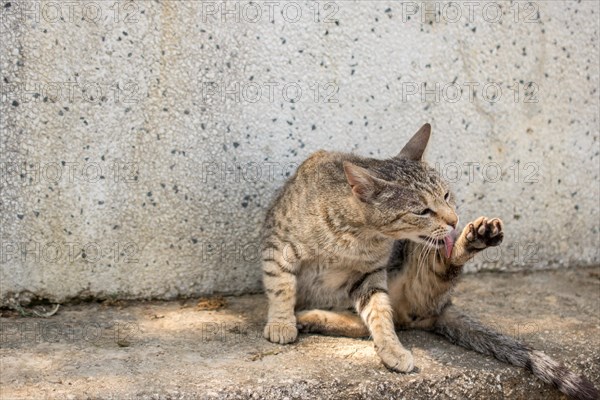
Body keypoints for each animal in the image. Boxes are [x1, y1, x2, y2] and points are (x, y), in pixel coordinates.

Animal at [262, 123, 600, 398]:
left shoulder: (370, 275)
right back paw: (304, 318)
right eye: (422, 211)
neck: (355, 236)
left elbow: (379, 314)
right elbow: (281, 287)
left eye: (447, 195)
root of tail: (440, 308)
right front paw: (280, 322)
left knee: (426, 284)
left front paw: (391, 348)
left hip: (423, 272)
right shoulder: (277, 245)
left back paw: (475, 239)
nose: (454, 220)